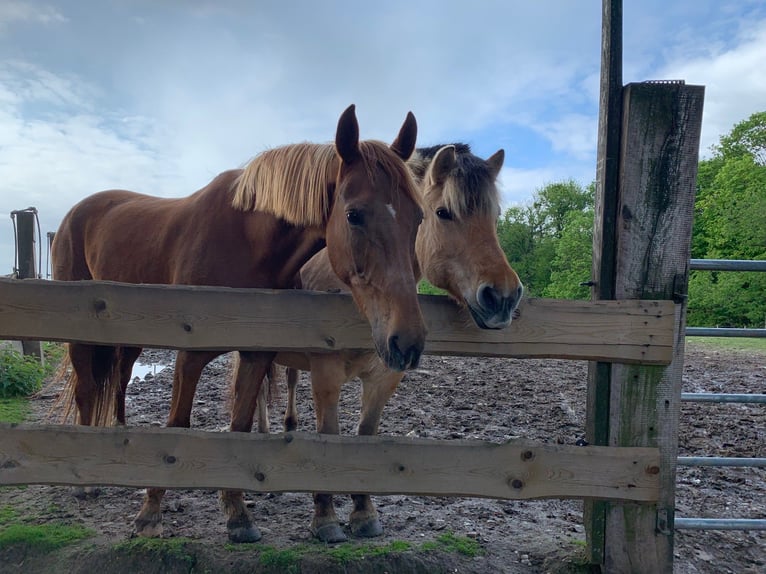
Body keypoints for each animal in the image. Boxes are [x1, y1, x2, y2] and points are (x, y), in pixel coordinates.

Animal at [51, 105, 428, 543]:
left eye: (418, 217)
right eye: (354, 215)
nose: (407, 341)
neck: (246, 242)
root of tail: (76, 212)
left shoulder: (256, 354)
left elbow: (240, 426)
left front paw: (238, 515)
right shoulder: (190, 355)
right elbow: (177, 425)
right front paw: (150, 512)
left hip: (127, 340)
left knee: (119, 385)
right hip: (81, 337)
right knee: (87, 392)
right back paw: (87, 482)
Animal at [266, 143, 523, 542]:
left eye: (495, 216)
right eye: (443, 213)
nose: (504, 296)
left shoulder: (384, 379)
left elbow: (366, 434)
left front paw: (363, 511)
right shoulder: (326, 378)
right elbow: (328, 436)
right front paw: (325, 517)